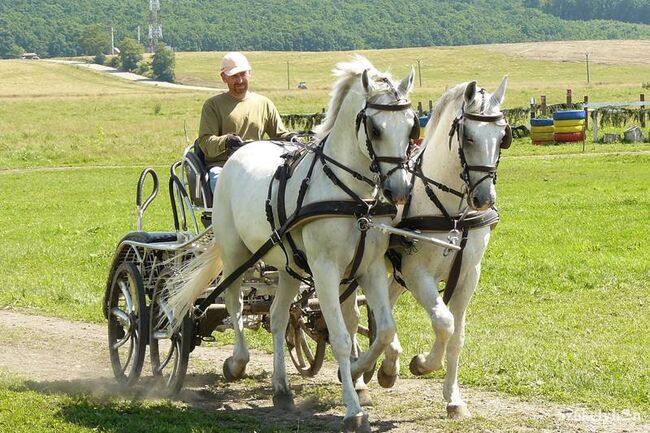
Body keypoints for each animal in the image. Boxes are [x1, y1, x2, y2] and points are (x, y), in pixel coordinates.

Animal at [167, 55, 416, 430]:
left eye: (411, 125)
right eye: (375, 129)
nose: (398, 190)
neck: (350, 195)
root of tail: (240, 153)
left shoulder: (368, 268)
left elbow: (384, 330)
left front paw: (369, 372)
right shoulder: (326, 271)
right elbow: (340, 336)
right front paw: (353, 408)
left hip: (287, 267)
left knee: (278, 317)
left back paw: (282, 388)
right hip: (235, 252)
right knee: (234, 304)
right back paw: (236, 363)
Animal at [354, 77, 512, 416]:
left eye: (502, 136)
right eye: (468, 136)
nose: (484, 199)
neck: (451, 214)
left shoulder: (468, 276)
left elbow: (457, 336)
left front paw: (454, 398)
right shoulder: (417, 273)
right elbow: (444, 322)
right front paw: (423, 363)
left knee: (384, 304)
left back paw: (386, 366)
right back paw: (361, 380)